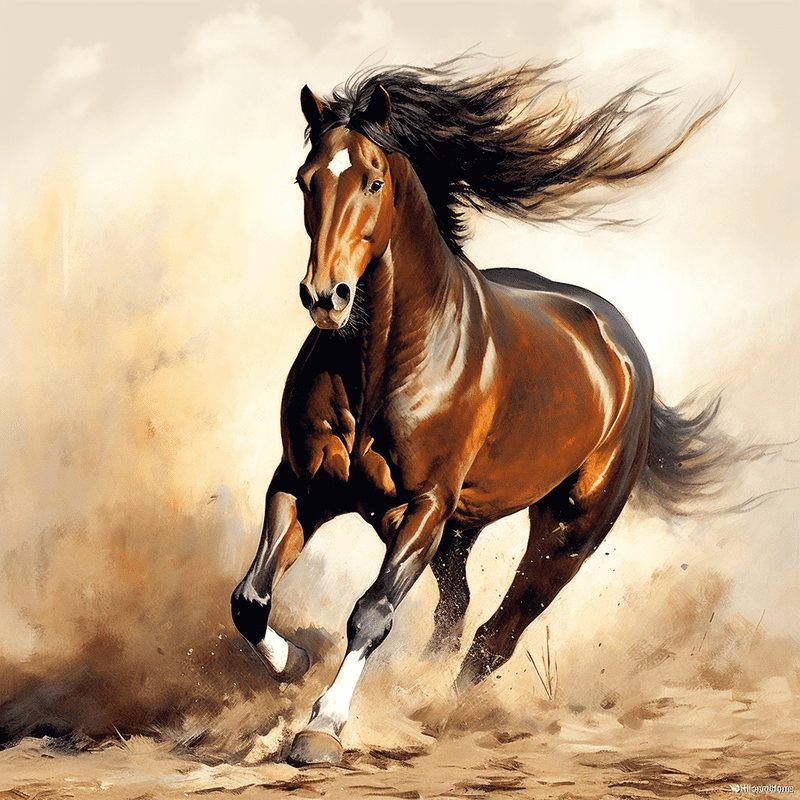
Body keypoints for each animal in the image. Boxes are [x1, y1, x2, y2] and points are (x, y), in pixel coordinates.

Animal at [230, 60, 729, 765]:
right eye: (306, 179)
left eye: (373, 180)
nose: (326, 296)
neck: (382, 365)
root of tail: (623, 348)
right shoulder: (305, 483)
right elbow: (249, 597)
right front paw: (298, 662)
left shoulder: (425, 505)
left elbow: (371, 612)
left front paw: (322, 724)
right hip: (457, 531)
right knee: (458, 610)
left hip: (566, 532)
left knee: (498, 634)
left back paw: (436, 710)